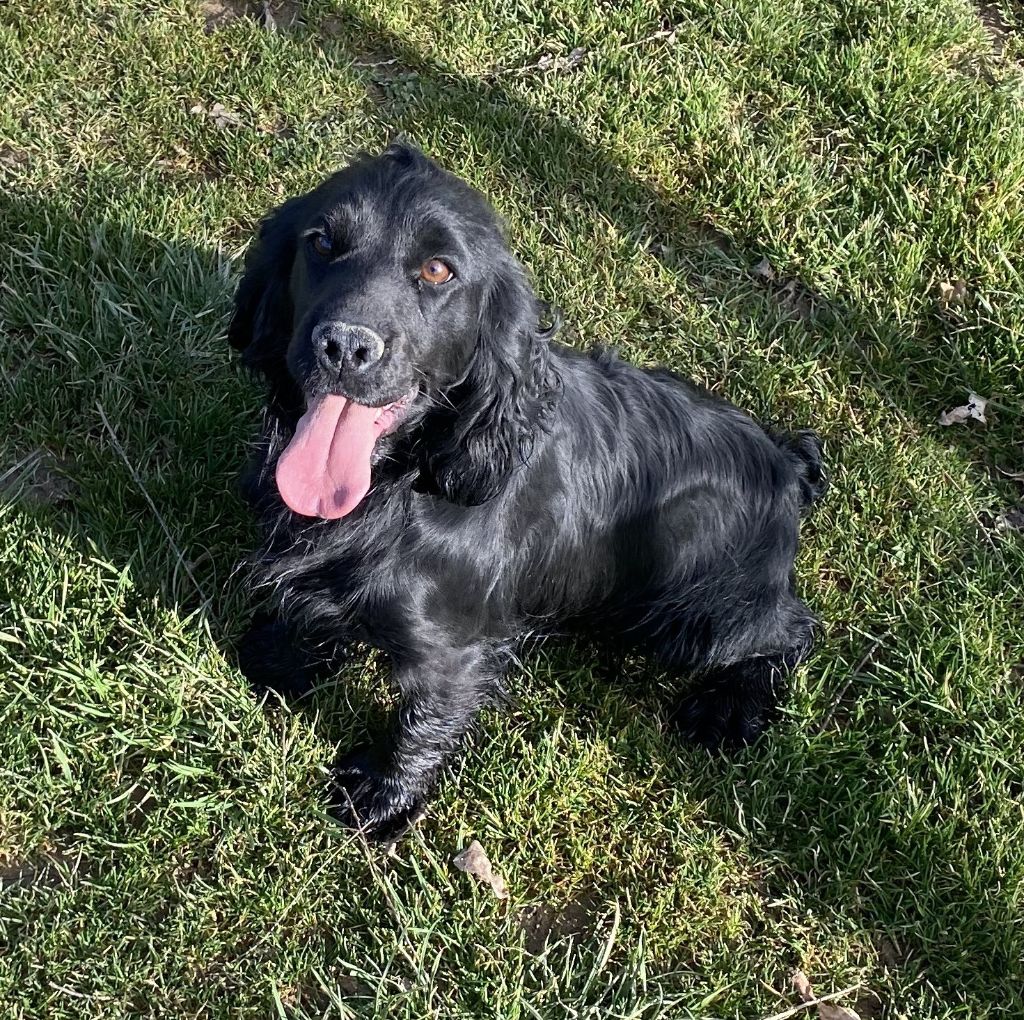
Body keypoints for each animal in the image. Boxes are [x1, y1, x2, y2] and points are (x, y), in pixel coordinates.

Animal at [228, 145, 827, 843]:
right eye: (322, 241)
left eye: (437, 269)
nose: (344, 345)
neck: (403, 480)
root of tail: (785, 463)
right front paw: (279, 655)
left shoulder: (454, 647)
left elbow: (424, 717)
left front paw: (381, 797)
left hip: (696, 610)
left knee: (791, 630)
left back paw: (725, 710)